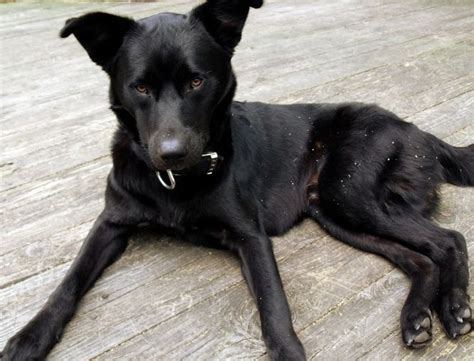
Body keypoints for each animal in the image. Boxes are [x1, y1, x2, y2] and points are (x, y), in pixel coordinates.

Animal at [1, 0, 472, 358]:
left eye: (196, 81)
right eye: (140, 87)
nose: (171, 152)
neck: (176, 184)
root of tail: (413, 128)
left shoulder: (250, 236)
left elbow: (273, 306)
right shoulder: (110, 223)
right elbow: (68, 282)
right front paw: (28, 337)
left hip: (348, 193)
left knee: (449, 239)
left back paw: (453, 308)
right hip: (334, 212)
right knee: (419, 258)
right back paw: (416, 318)